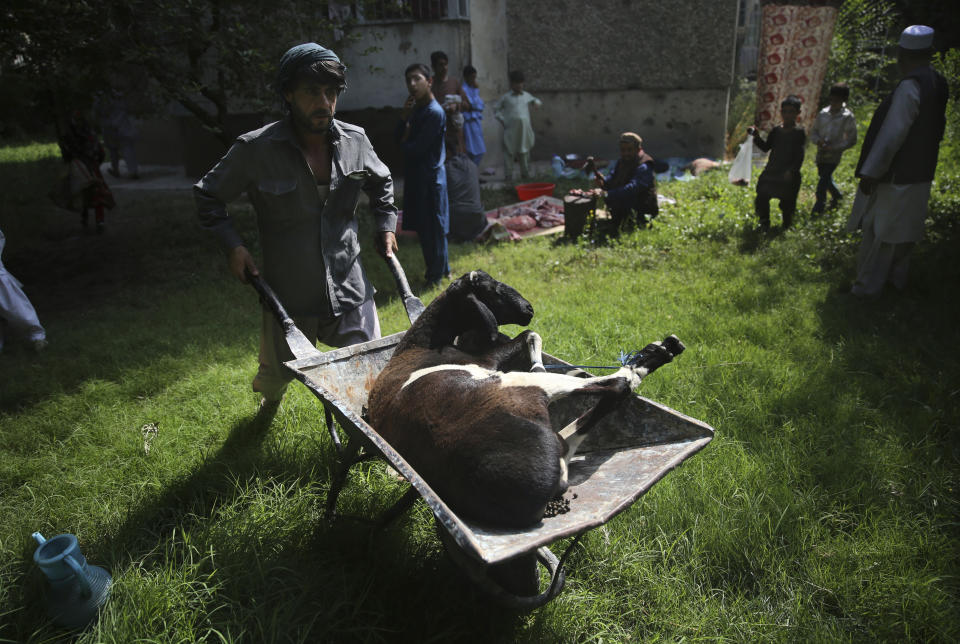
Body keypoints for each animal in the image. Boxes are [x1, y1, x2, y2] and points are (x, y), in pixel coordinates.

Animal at [366, 270, 684, 532]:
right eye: (492, 289)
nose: (529, 309)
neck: (420, 345)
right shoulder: (489, 362)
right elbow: (530, 334)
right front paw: (540, 364)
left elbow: (529, 336)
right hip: (522, 390)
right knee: (618, 387)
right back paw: (657, 353)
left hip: (552, 434)